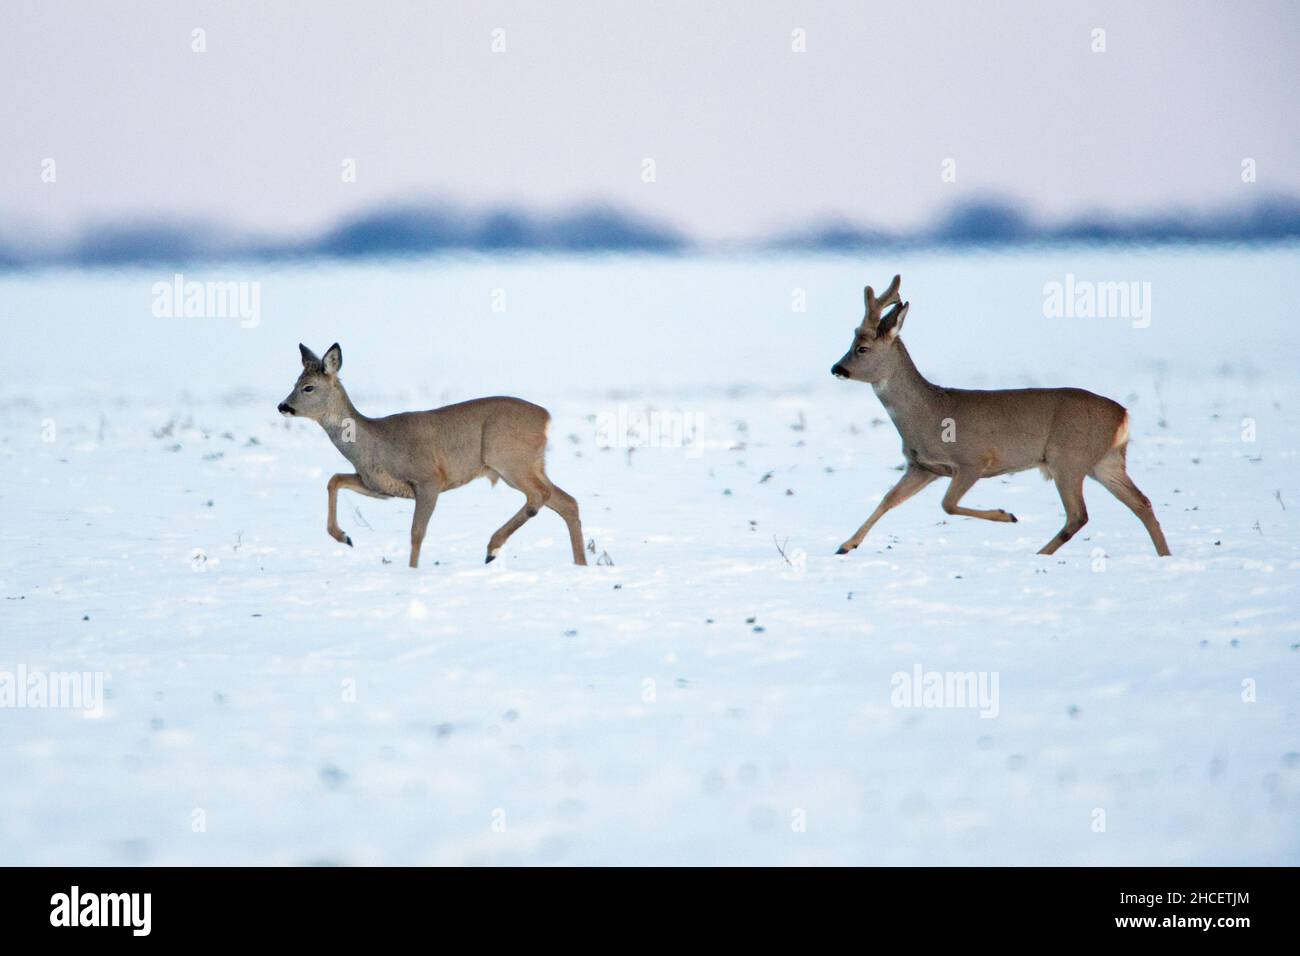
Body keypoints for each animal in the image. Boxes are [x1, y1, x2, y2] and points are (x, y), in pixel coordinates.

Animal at [286, 343, 595, 567]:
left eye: (308, 387)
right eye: (294, 382)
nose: (283, 406)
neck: (373, 443)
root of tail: (546, 416)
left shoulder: (429, 479)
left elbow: (416, 533)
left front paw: (412, 571)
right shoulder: (379, 486)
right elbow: (334, 479)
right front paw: (345, 537)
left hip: (509, 459)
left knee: (539, 496)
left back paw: (492, 548)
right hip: (530, 464)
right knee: (567, 501)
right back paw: (579, 564)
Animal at [826, 273, 1175, 556]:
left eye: (862, 348)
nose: (836, 368)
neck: (926, 413)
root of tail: (1124, 415)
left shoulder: (973, 459)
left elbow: (947, 505)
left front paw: (1006, 515)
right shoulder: (921, 466)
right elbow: (888, 499)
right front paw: (845, 545)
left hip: (1068, 458)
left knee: (1079, 514)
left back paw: (1039, 552)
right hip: (1105, 461)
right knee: (1141, 503)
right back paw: (1164, 555)